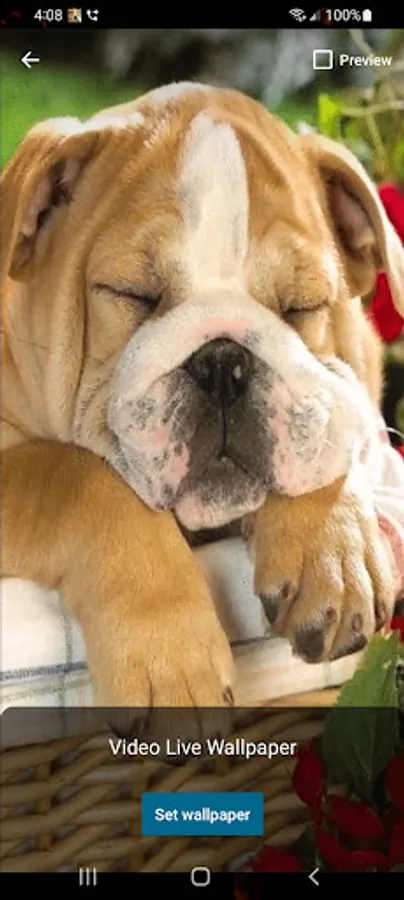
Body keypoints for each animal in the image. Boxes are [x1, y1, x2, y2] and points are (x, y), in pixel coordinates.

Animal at [2, 82, 404, 712]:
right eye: (132, 294)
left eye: (302, 305)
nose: (223, 362)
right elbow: (78, 477)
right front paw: (168, 657)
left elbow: (329, 421)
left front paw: (335, 552)